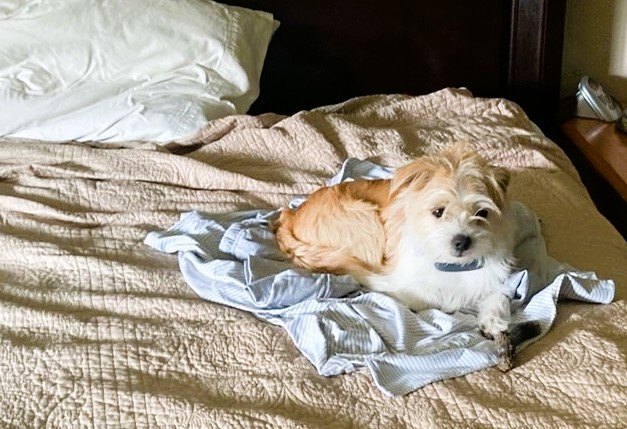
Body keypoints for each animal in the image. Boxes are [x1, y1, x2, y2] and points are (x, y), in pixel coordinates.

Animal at [278, 142, 516, 342]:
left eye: (482, 213)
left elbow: (498, 294)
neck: (451, 266)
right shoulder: (403, 282)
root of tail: (291, 217)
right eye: (438, 211)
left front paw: (493, 319)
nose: (462, 242)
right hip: (366, 224)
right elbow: (426, 297)